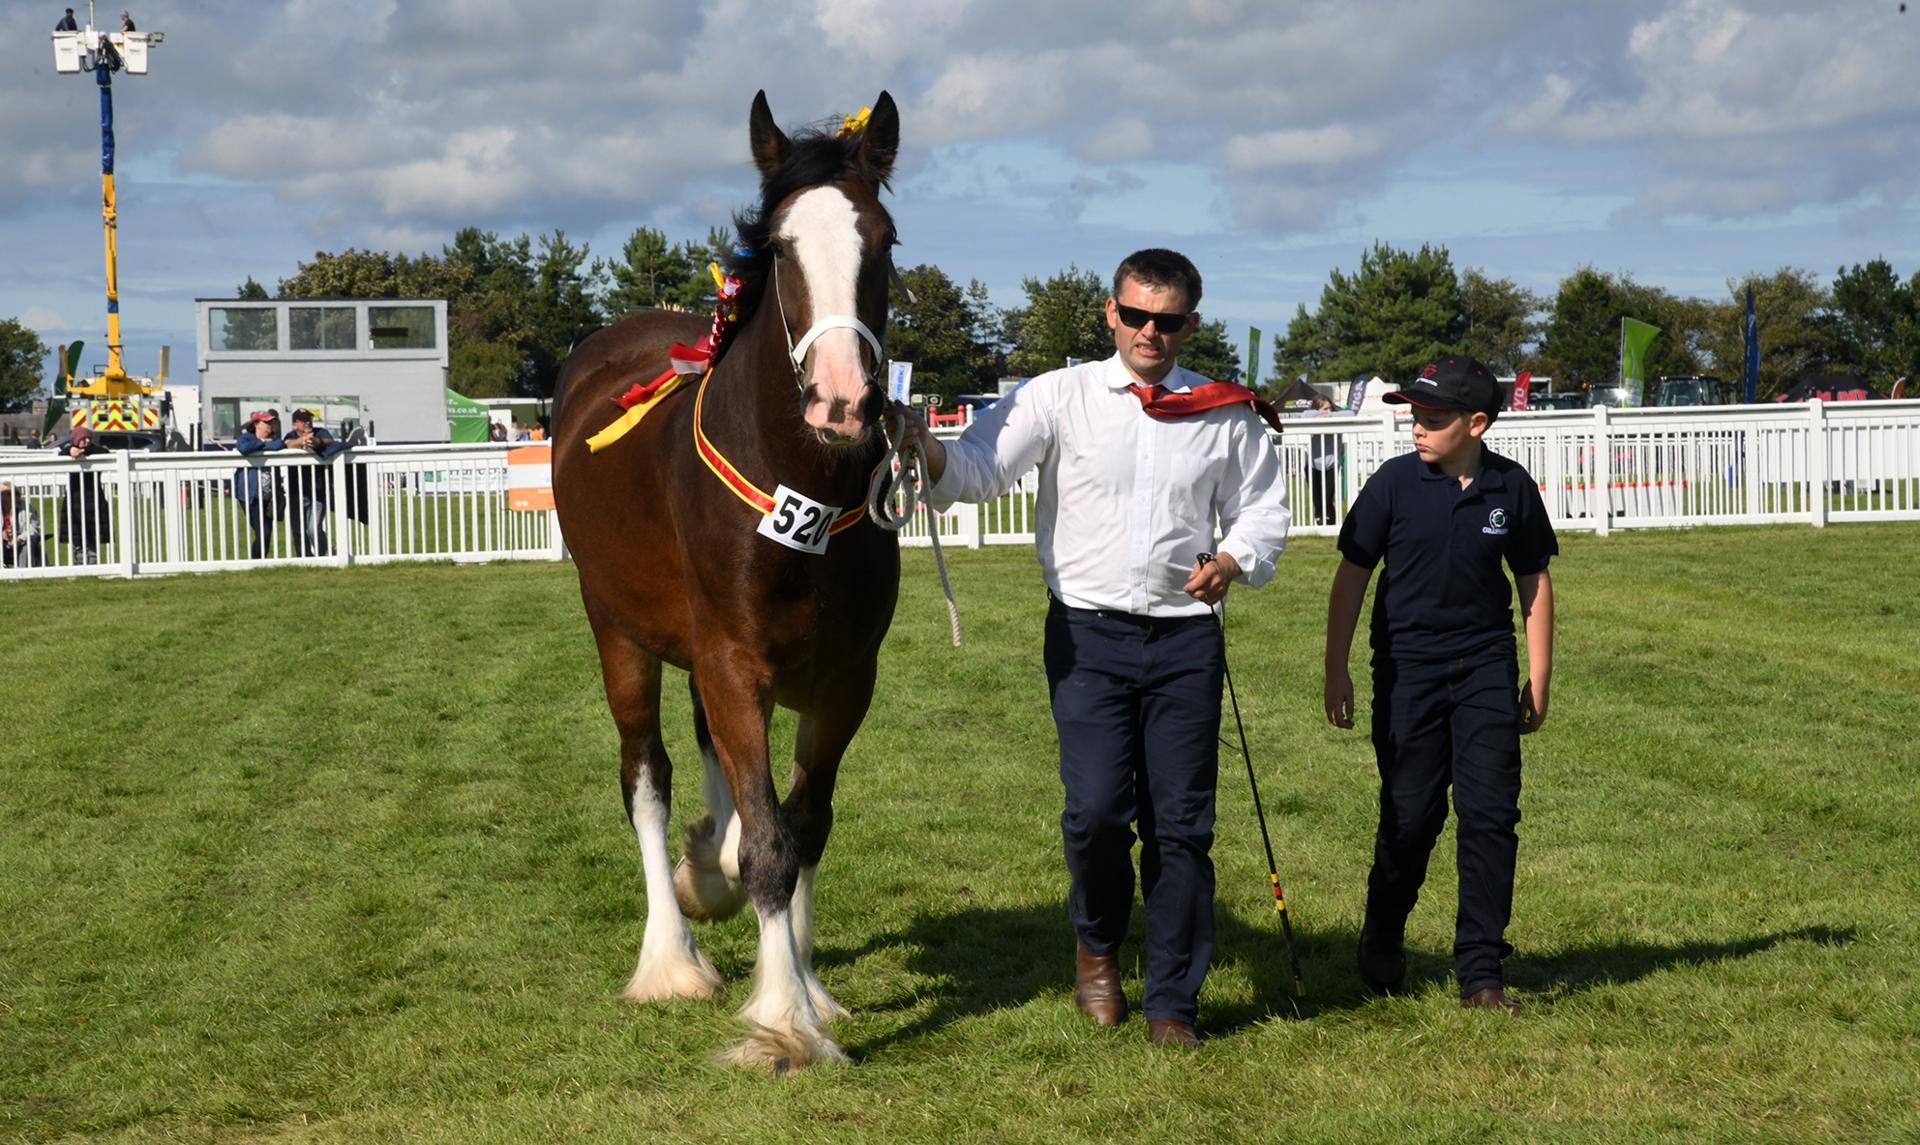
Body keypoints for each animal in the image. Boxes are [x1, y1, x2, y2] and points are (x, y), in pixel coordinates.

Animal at [552, 91, 902, 1075]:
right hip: (619, 633)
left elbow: (803, 823)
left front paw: (809, 986)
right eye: (780, 248)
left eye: (885, 240)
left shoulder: (845, 679)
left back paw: (709, 867)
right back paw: (670, 957)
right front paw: (784, 1022)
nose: (842, 402)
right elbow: (772, 843)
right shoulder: (734, 661)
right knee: (647, 776)